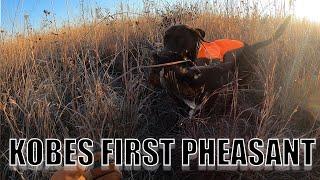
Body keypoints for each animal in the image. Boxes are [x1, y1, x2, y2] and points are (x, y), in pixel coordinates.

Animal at [151, 16, 292, 112]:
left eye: (180, 39)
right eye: (165, 39)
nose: (160, 56)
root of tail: (251, 47)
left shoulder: (215, 87)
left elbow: (206, 105)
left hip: (240, 79)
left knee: (233, 96)